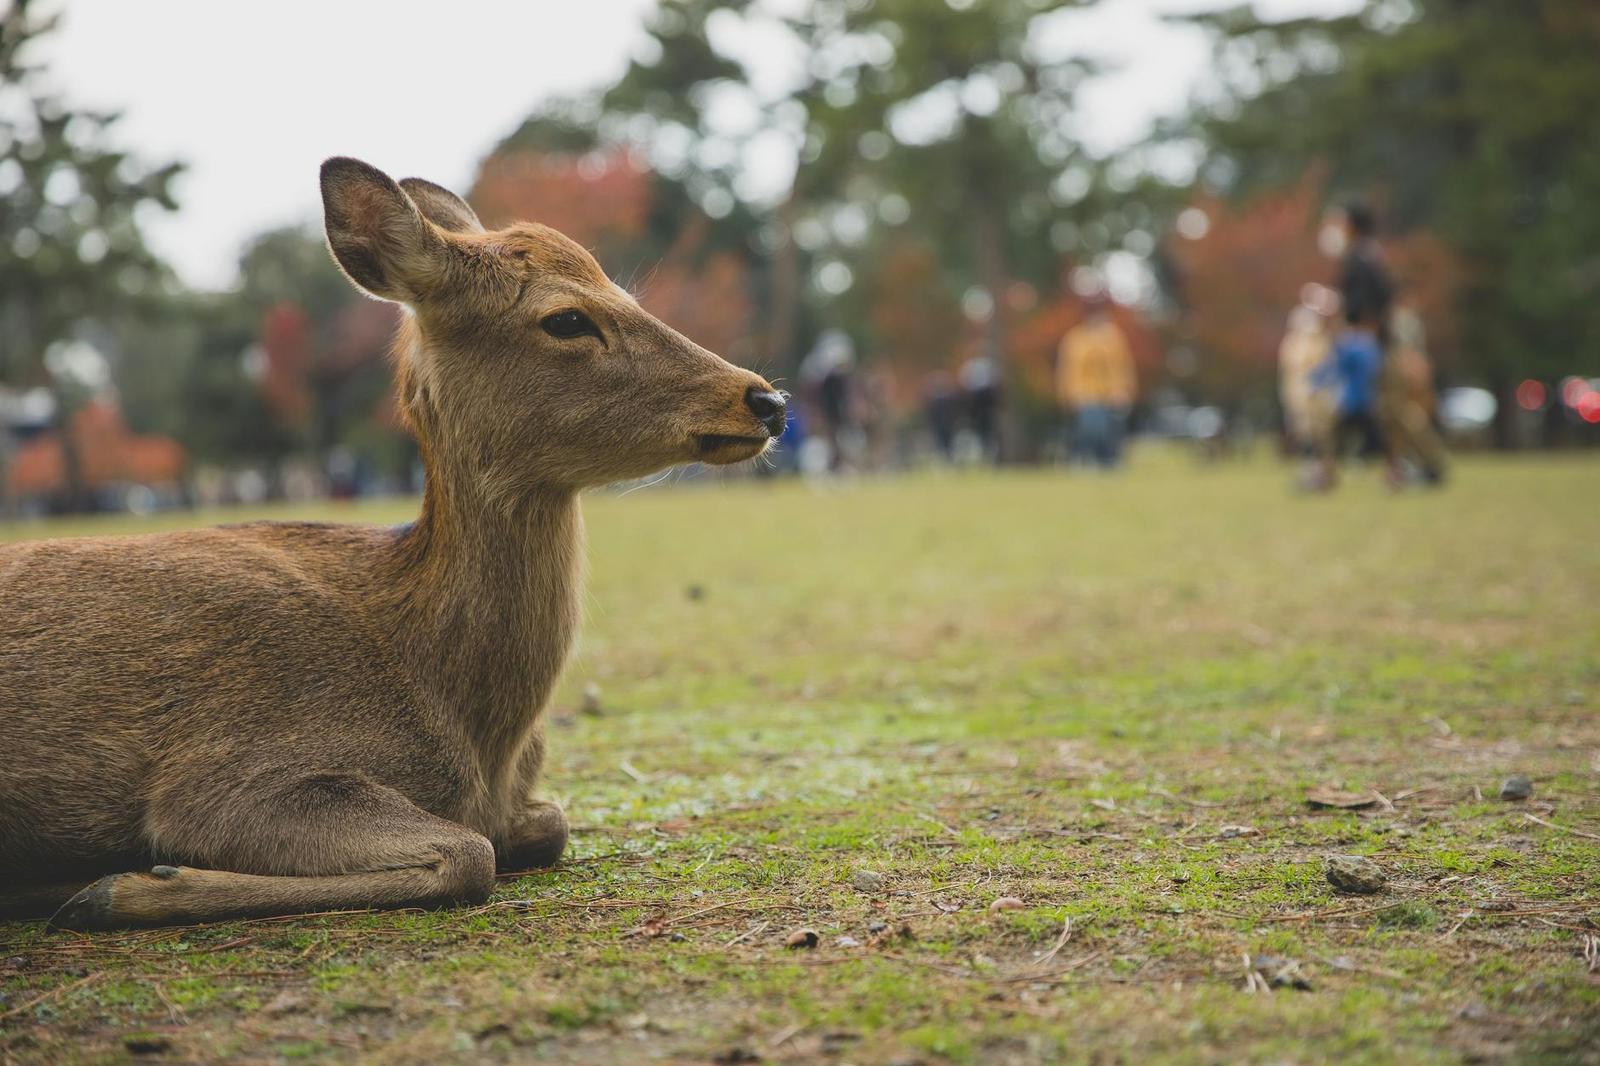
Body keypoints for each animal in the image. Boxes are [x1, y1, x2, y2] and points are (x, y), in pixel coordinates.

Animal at [0, 158, 787, 929]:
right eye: (566, 318)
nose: (767, 399)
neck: (478, 733)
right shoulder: (228, 774)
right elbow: (471, 854)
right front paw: (119, 886)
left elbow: (549, 824)